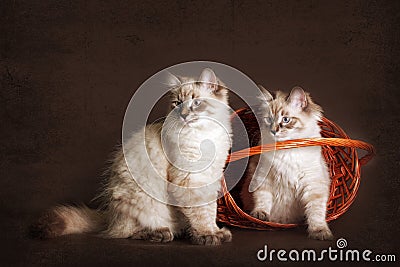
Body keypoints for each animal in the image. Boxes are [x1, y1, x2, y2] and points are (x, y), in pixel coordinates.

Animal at [31, 69, 233, 247]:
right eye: (177, 104)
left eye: (196, 103)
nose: (183, 115)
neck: (204, 136)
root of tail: (109, 216)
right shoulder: (188, 179)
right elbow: (200, 212)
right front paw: (207, 235)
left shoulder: (211, 177)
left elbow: (209, 210)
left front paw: (216, 232)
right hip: (139, 201)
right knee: (126, 232)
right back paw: (159, 233)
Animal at [242, 87, 332, 242]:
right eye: (269, 119)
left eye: (285, 119)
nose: (273, 130)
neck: (287, 150)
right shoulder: (262, 178)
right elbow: (263, 200)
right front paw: (260, 214)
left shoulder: (313, 185)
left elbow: (316, 212)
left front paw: (320, 231)